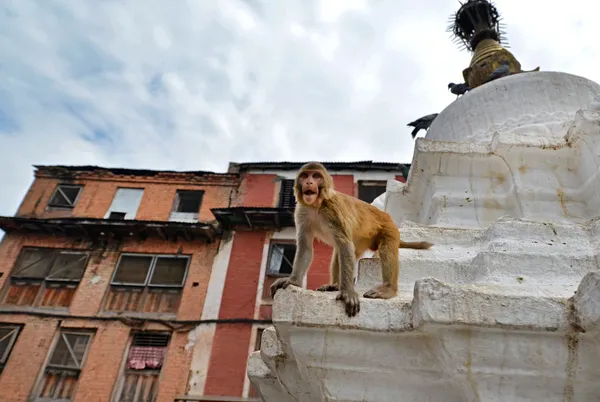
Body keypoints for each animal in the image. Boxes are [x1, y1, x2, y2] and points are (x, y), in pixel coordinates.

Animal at [270, 161, 434, 318]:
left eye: (316, 176)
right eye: (305, 176)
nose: (309, 182)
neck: (317, 204)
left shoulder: (334, 210)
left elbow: (344, 244)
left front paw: (347, 292)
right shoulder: (302, 212)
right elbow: (306, 247)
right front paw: (293, 281)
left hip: (389, 228)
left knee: (384, 249)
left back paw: (388, 289)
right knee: (341, 253)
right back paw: (335, 285)